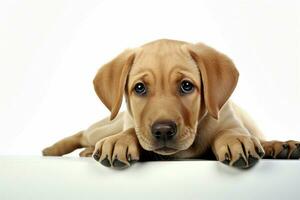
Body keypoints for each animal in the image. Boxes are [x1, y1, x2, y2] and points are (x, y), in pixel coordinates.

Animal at [42, 39, 300, 169]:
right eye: (139, 88)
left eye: (186, 86)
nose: (164, 130)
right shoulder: (134, 126)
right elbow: (133, 132)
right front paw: (121, 141)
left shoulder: (230, 119)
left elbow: (228, 131)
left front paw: (235, 139)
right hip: (105, 126)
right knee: (84, 133)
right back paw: (54, 150)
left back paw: (280, 146)